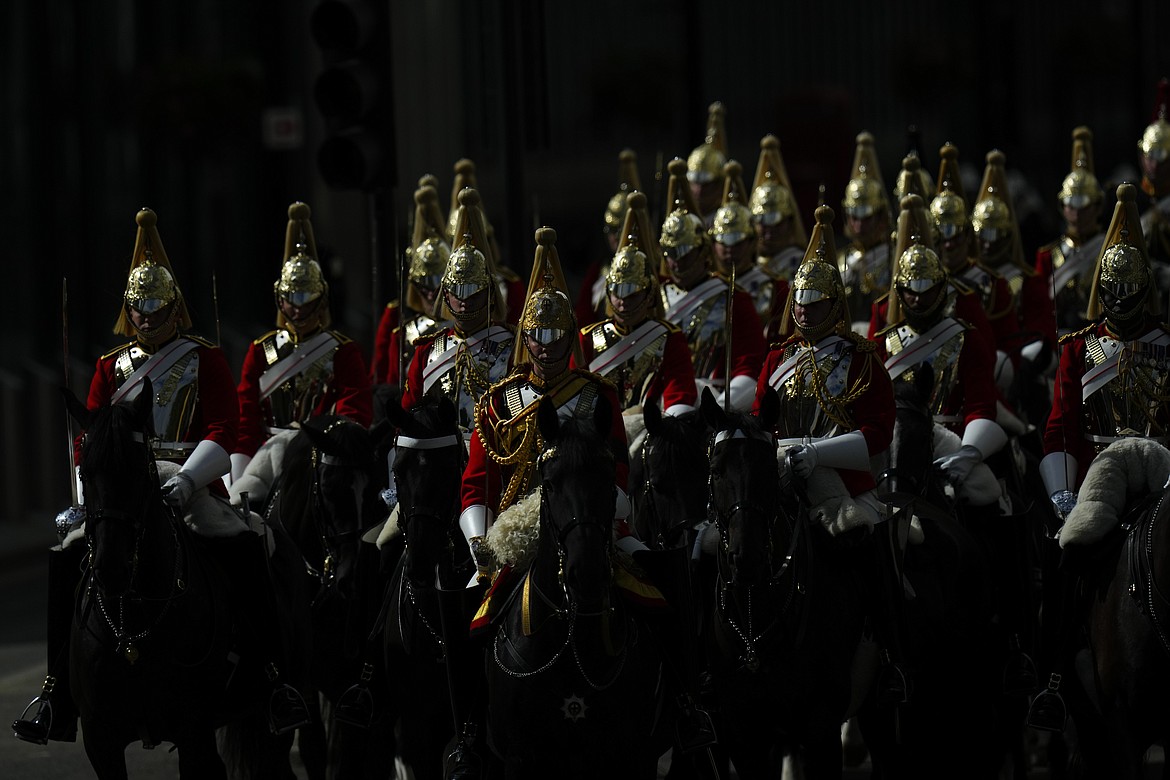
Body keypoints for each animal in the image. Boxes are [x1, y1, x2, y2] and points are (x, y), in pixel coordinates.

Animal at [64, 383, 306, 776]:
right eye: (84, 472)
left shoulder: (195, 734)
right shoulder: (101, 742)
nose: (111, 569)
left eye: (141, 470)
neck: (134, 623)